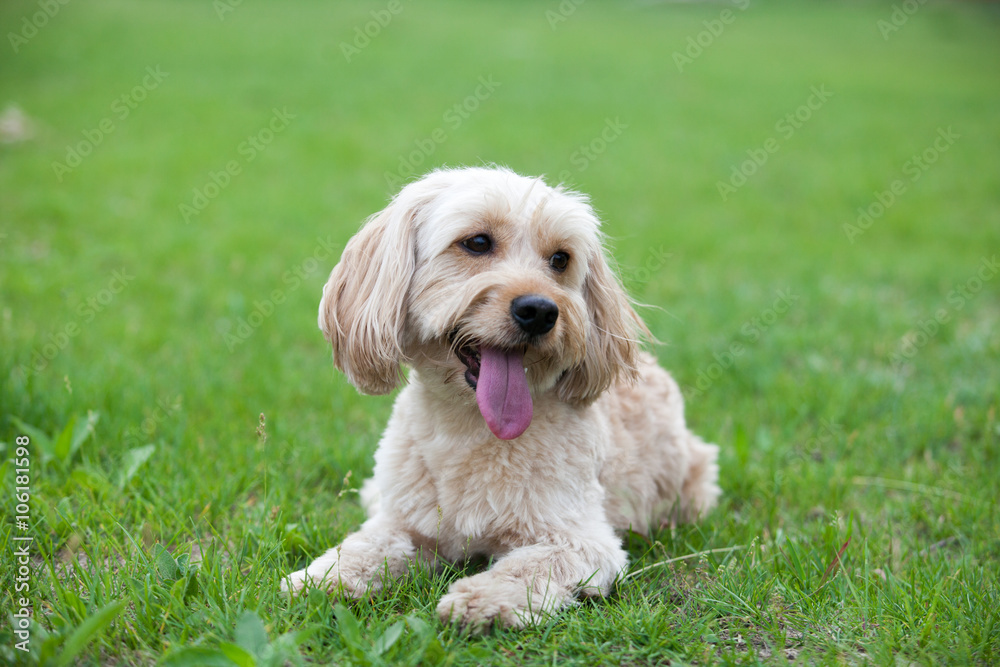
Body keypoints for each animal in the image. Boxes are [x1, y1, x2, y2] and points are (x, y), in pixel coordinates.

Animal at [282, 166, 720, 632]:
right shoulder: (405, 522)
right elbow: (365, 547)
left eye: (560, 259)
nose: (540, 311)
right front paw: (319, 578)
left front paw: (479, 599)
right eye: (477, 242)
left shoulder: (583, 540)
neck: (471, 426)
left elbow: (528, 567)